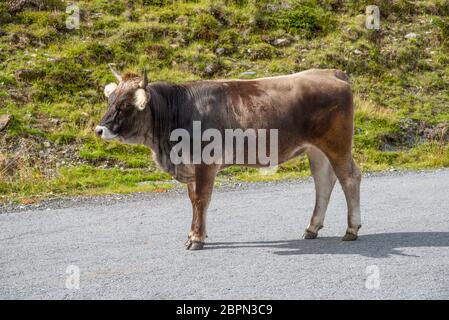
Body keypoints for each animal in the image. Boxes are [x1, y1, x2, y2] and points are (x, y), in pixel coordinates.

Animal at [95, 65, 360, 250]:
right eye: (110, 101)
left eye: (125, 106)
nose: (99, 130)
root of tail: (330, 72)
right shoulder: (189, 167)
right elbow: (193, 201)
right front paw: (193, 234)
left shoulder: (205, 163)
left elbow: (202, 200)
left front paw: (197, 239)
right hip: (316, 150)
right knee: (323, 183)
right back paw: (312, 228)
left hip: (337, 145)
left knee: (349, 178)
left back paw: (351, 229)